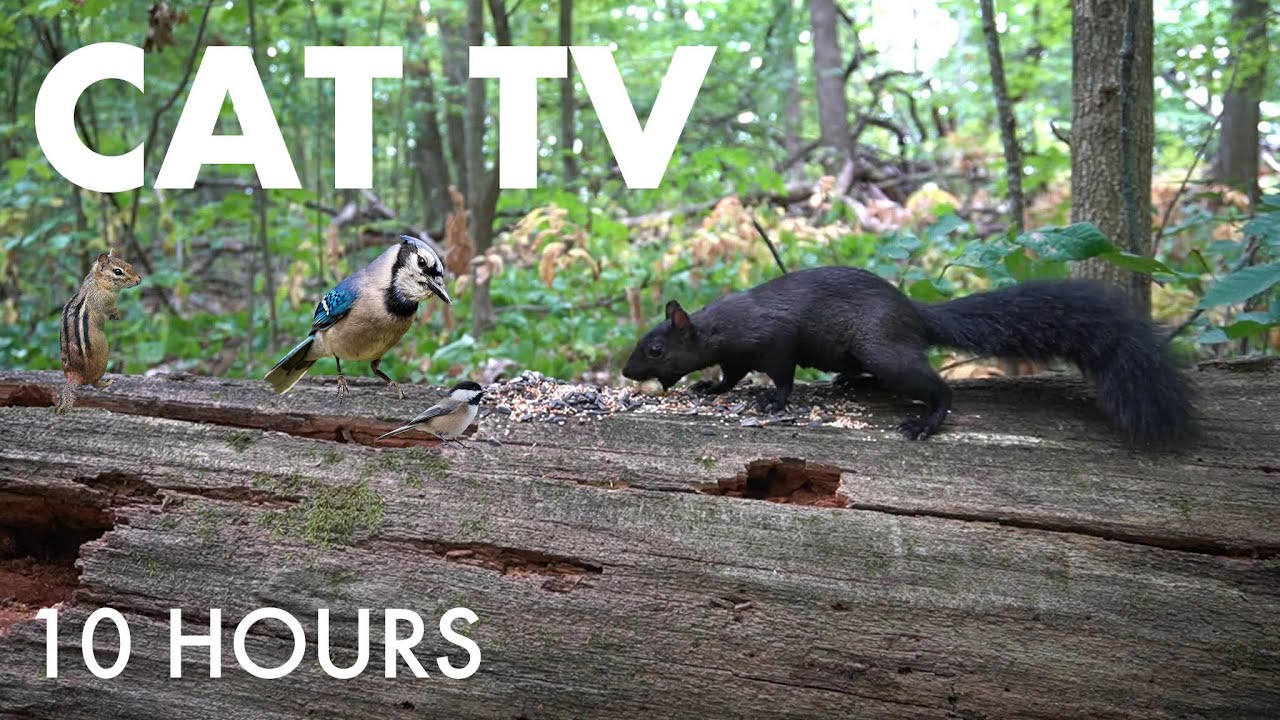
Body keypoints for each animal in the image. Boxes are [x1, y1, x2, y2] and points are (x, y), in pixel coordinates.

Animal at [56, 249, 142, 414]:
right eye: (118, 272)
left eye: (129, 264)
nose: (139, 280)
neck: (97, 282)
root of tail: (74, 376)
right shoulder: (104, 302)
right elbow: (109, 310)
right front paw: (116, 314)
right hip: (103, 359)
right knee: (93, 383)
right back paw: (106, 383)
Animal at [621, 266, 1197, 445]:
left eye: (654, 347)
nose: (627, 371)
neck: (721, 325)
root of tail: (913, 314)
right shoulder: (738, 357)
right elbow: (729, 375)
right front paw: (708, 386)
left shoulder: (776, 341)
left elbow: (780, 375)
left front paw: (773, 403)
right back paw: (851, 384)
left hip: (883, 348)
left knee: (937, 385)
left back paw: (927, 421)